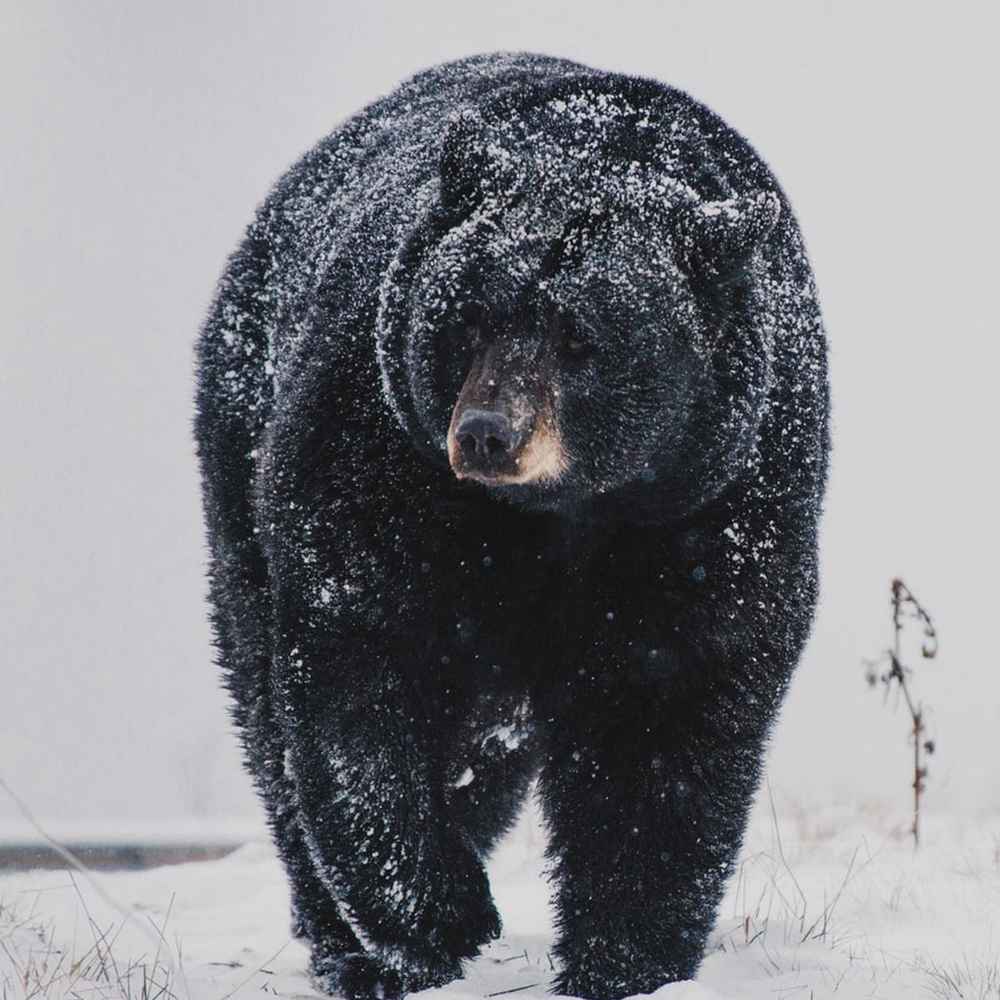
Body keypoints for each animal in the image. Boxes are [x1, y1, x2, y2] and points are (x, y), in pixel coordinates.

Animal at [194, 51, 829, 1000]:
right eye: (470, 316)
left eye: (583, 339)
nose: (488, 434)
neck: (558, 520)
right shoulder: (379, 460)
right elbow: (359, 666)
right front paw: (438, 917)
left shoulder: (712, 506)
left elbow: (665, 722)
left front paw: (624, 957)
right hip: (239, 449)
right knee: (270, 717)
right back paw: (347, 948)